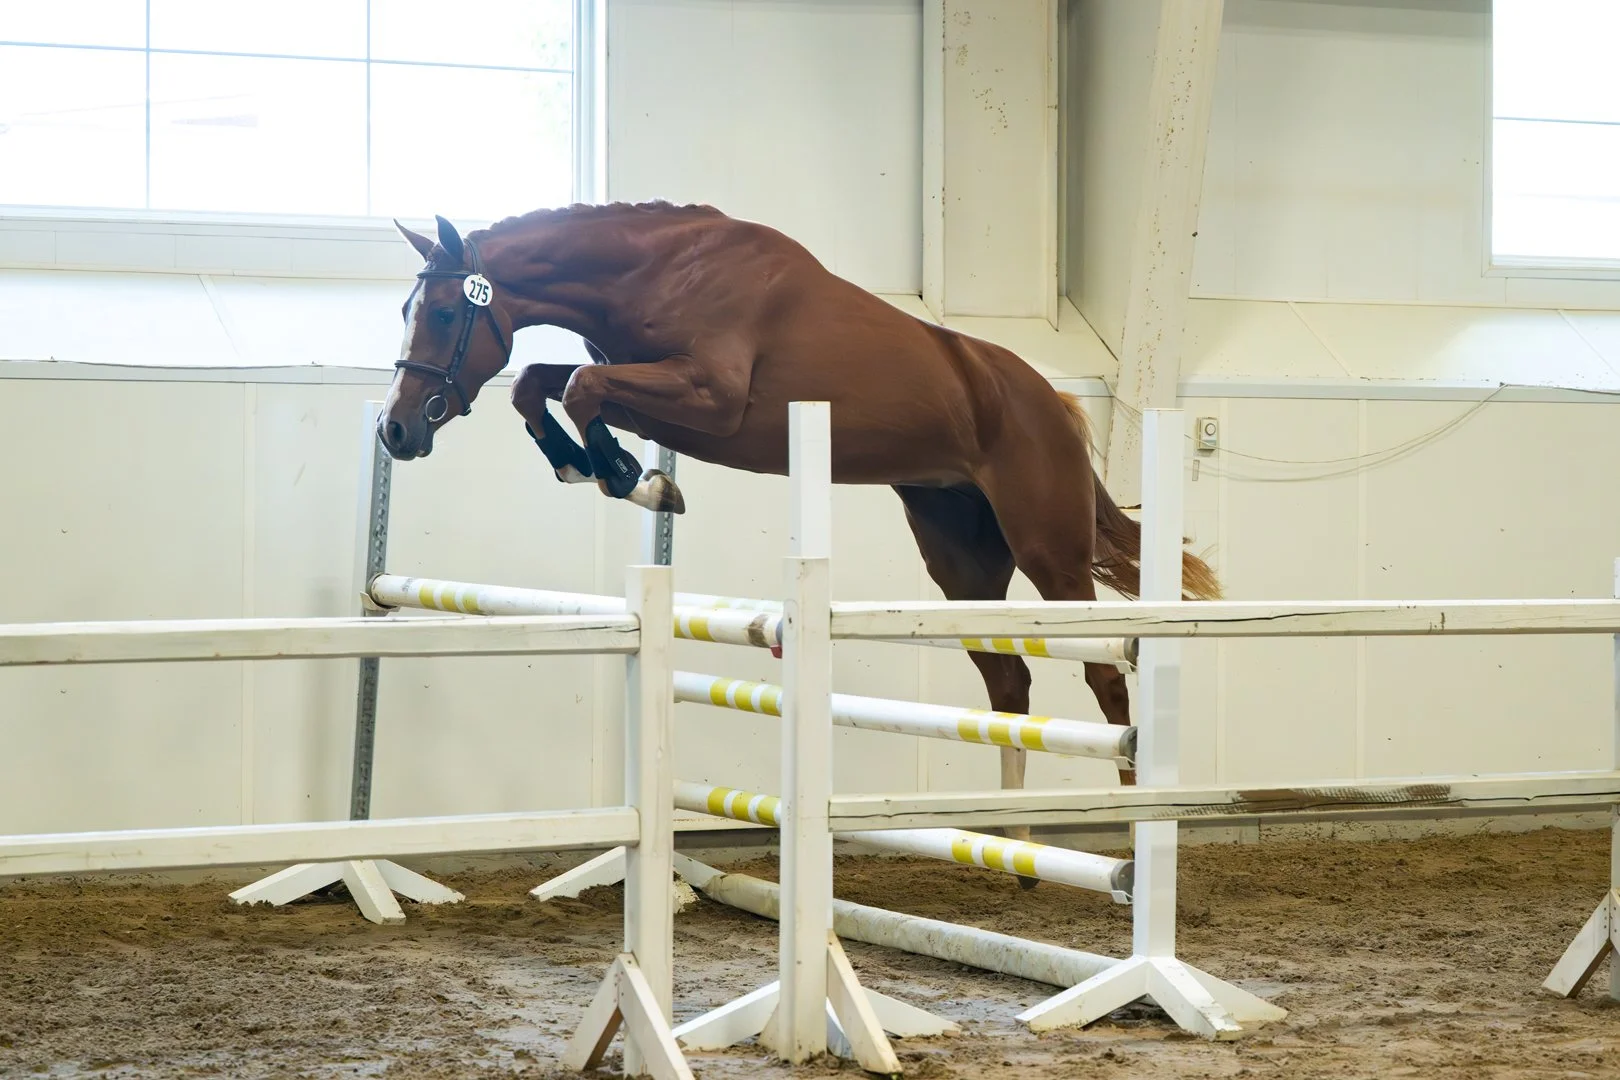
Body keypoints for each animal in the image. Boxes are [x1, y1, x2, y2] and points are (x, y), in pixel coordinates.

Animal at [379, 201, 1222, 865]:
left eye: (446, 314)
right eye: (408, 312)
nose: (396, 430)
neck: (657, 272)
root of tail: (1051, 403)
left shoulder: (708, 400)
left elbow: (581, 388)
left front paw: (632, 477)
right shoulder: (650, 390)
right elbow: (540, 383)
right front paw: (596, 468)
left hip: (1049, 551)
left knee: (1105, 674)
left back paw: (1129, 819)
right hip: (961, 561)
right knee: (1008, 679)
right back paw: (1009, 839)